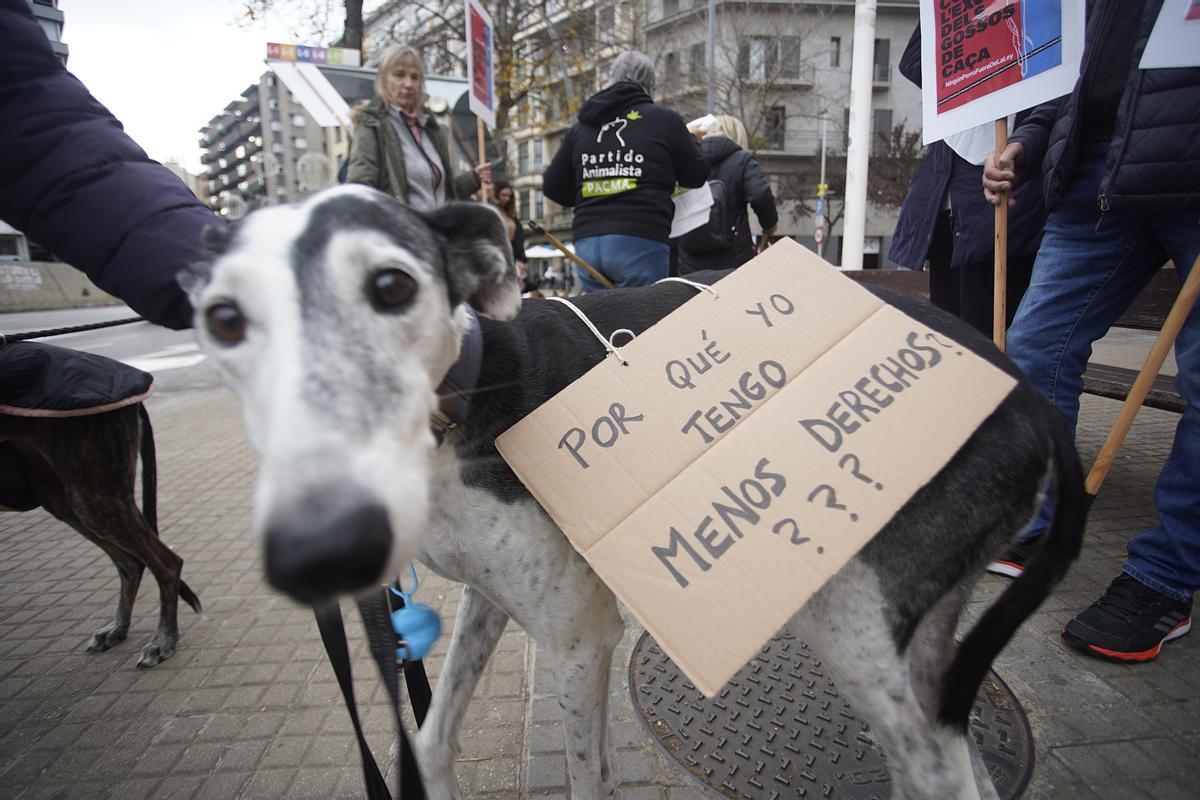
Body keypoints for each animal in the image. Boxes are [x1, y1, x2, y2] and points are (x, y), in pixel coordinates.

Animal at [0, 400, 201, 671]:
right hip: (66, 496)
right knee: (131, 563)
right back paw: (118, 629)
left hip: (92, 491)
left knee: (166, 563)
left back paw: (162, 641)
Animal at [180, 185, 1089, 800]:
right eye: (222, 319)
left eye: (394, 287)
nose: (321, 550)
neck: (464, 401)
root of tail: (1032, 395)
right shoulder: (493, 599)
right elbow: (433, 742)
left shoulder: (580, 641)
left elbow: (589, 775)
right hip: (917, 651)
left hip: (857, 637)